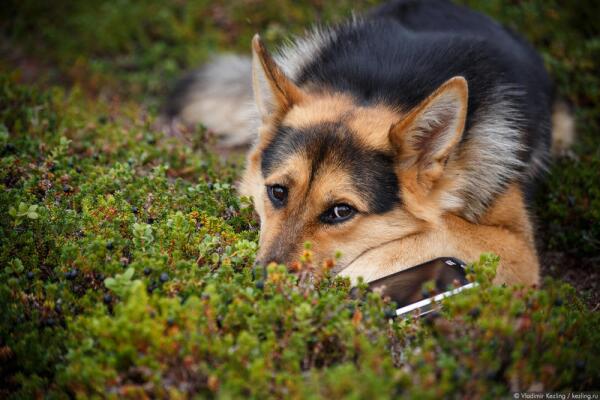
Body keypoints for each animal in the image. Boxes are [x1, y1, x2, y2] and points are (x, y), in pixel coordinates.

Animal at [162, 0, 576, 288]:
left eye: (341, 212)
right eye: (277, 192)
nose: (263, 285)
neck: (378, 88)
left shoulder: (519, 250)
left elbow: (439, 227)